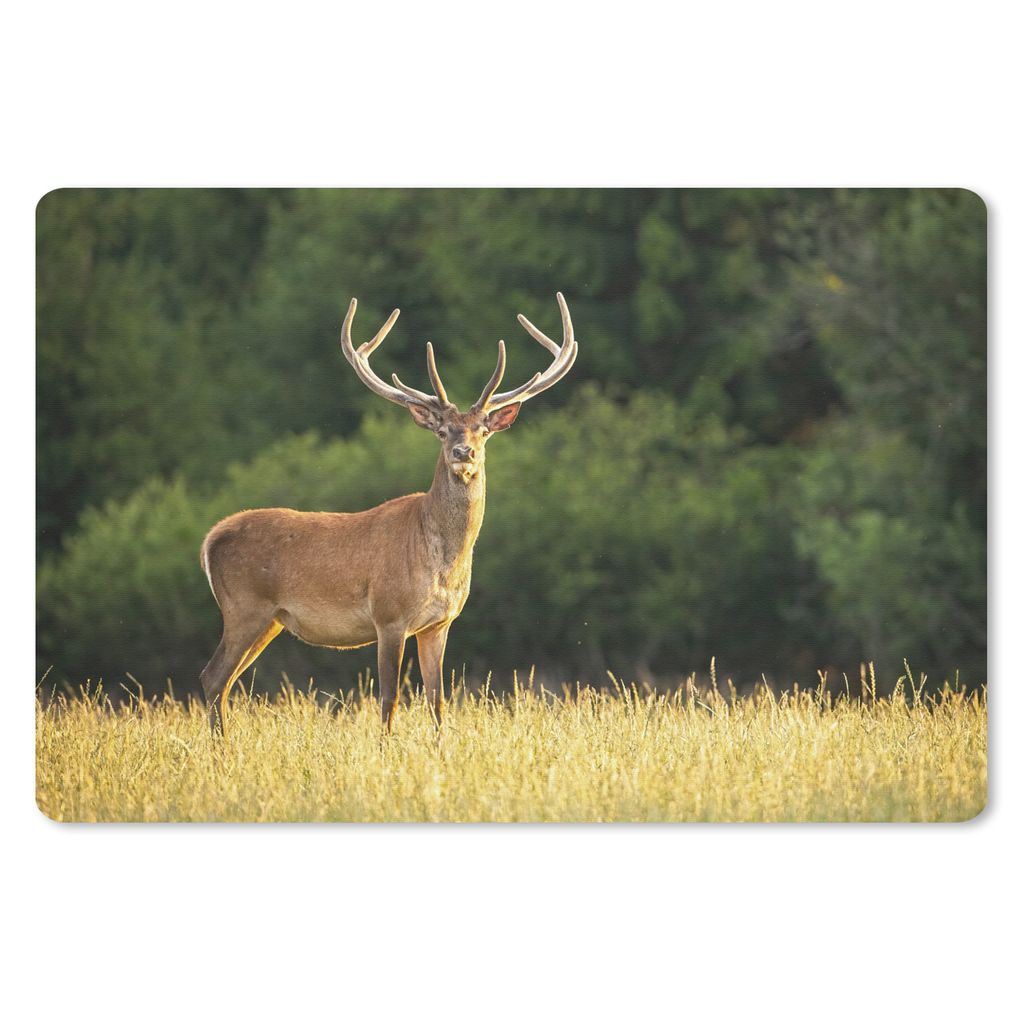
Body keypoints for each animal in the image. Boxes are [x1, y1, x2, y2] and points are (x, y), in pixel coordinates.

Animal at [198, 293, 577, 734]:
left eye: (483, 430)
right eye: (442, 431)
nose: (463, 452)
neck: (441, 562)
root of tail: (210, 540)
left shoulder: (439, 623)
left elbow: (437, 700)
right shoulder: (389, 615)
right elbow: (389, 698)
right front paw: (385, 746)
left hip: (270, 619)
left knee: (224, 682)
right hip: (244, 607)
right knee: (213, 676)